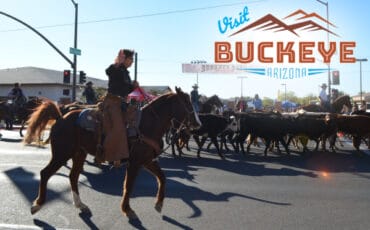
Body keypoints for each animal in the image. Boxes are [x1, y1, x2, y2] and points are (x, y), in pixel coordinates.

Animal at [26, 87, 201, 219]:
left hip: (79, 154)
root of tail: (60, 117)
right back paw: (37, 205)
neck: (147, 125)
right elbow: (128, 186)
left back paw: (80, 205)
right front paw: (127, 210)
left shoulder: (146, 160)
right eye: (187, 102)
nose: (198, 124)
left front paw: (159, 204)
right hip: (62, 153)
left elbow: (162, 178)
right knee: (45, 173)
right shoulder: (135, 162)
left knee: (73, 176)